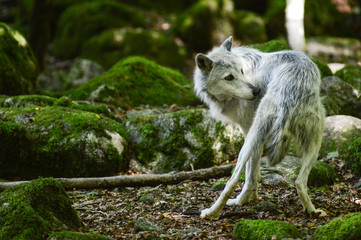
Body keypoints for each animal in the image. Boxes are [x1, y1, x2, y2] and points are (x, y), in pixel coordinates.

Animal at [194, 36, 326, 218]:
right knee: (299, 182)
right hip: (315, 145)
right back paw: (313, 211)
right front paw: (254, 198)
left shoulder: (248, 131)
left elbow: (250, 175)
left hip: (250, 141)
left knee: (233, 180)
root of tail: (294, 89)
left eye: (241, 71)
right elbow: (256, 174)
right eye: (229, 77)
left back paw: (214, 211)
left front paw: (245, 200)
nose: (256, 91)